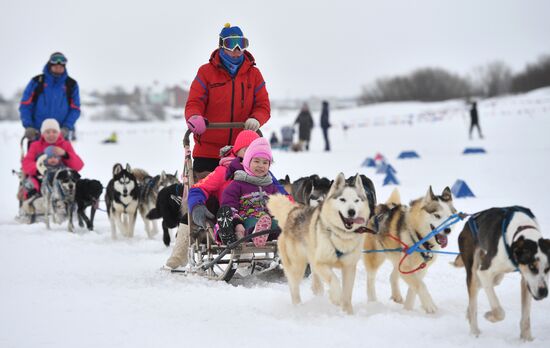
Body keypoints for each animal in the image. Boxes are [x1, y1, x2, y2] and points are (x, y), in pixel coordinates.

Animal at [268, 173, 376, 312]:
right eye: (342, 199)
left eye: (356, 200)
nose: (351, 212)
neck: (341, 235)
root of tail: (293, 211)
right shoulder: (320, 263)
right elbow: (334, 281)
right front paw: (336, 298)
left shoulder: (349, 267)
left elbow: (347, 294)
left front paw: (348, 312)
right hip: (297, 265)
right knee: (294, 285)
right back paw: (298, 306)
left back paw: (317, 289)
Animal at [366, 186, 458, 314]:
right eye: (437, 216)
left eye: (450, 217)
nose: (447, 230)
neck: (420, 237)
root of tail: (380, 207)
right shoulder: (407, 267)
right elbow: (421, 286)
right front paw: (429, 305)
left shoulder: (419, 269)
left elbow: (413, 290)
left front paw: (407, 310)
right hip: (376, 257)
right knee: (370, 279)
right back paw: (372, 301)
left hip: (398, 260)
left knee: (393, 276)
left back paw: (396, 296)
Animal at [458, 207, 550, 340]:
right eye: (532, 267)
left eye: (548, 268)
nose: (544, 292)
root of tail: (468, 222)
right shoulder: (484, 272)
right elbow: (499, 311)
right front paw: (489, 315)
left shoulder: (526, 281)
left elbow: (526, 318)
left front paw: (526, 339)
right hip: (474, 270)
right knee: (474, 297)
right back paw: (474, 331)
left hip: (497, 277)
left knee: (480, 289)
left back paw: (468, 313)